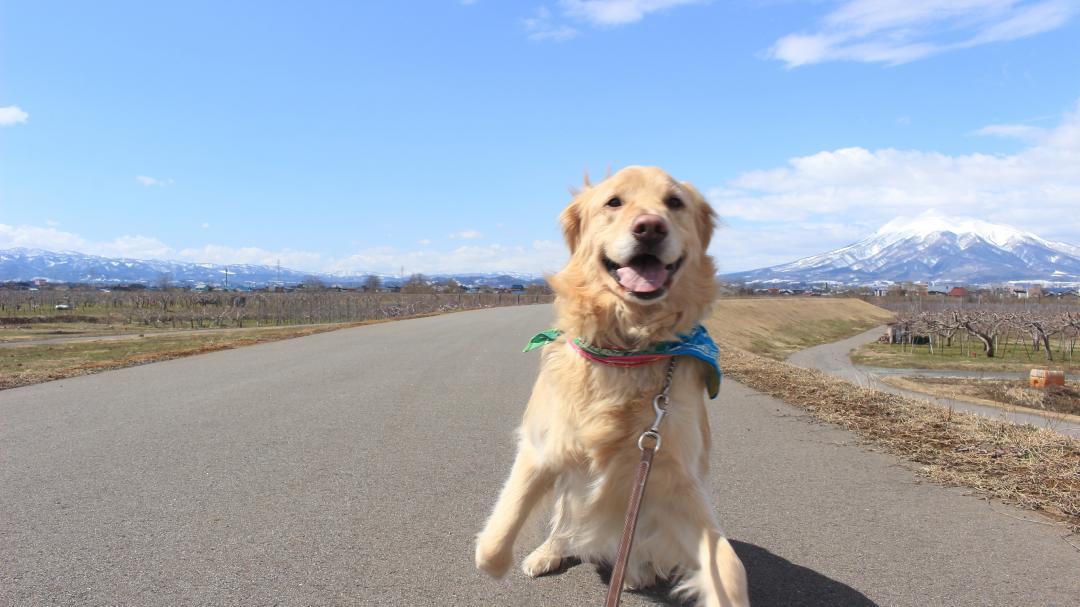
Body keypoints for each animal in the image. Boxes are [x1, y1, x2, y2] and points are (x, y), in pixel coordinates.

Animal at [477, 166, 747, 604]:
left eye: (674, 202)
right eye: (614, 202)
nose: (650, 227)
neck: (626, 350)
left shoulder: (675, 479)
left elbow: (728, 564)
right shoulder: (543, 447)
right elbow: (493, 543)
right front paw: (499, 561)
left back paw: (635, 571)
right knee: (564, 523)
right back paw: (550, 552)